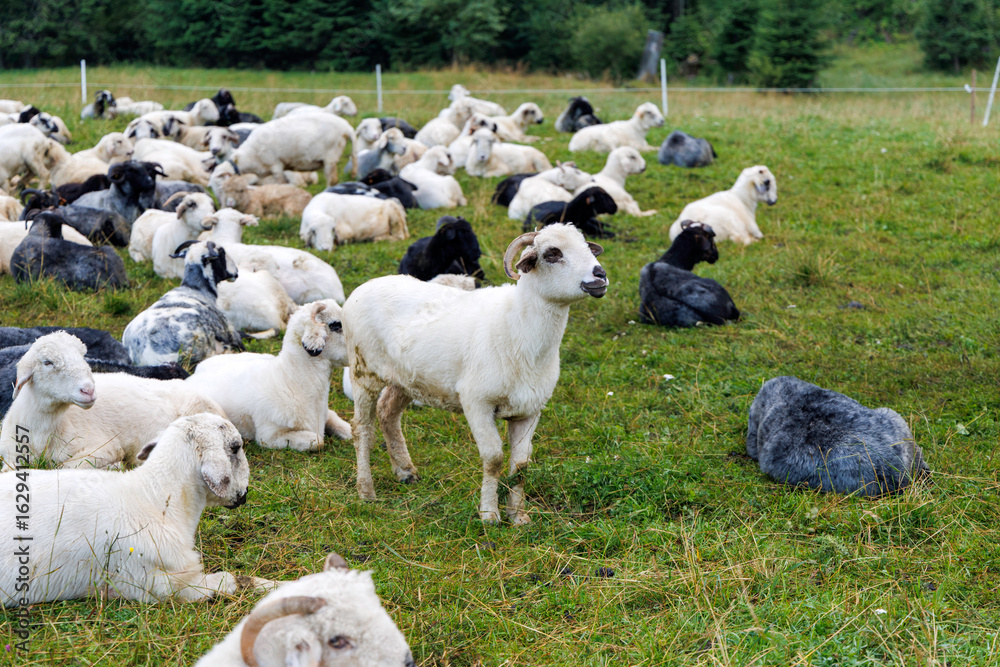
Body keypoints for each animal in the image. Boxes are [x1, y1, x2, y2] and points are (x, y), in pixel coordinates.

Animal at [0, 331, 226, 470]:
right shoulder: (9, 457)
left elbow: (64, 466)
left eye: (83, 357)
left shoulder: (103, 447)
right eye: (47, 362)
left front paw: (114, 466)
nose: (88, 390)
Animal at [0, 411, 276, 605]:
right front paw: (273, 585)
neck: (153, 498)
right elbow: (233, 580)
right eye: (236, 447)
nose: (245, 494)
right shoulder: (164, 584)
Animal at [186, 300, 351, 451]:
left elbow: (345, 427)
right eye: (335, 325)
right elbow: (318, 442)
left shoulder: (326, 413)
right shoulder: (269, 437)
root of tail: (197, 371)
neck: (290, 380)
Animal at [343, 224, 609, 524]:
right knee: (362, 428)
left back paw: (405, 471)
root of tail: (365, 286)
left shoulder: (529, 410)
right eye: (553, 254)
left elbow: (521, 465)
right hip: (363, 371)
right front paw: (489, 515)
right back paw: (366, 491)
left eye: (587, 247)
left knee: (388, 412)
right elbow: (493, 459)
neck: (517, 328)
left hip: (406, 379)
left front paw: (518, 517)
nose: (600, 275)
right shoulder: (477, 403)